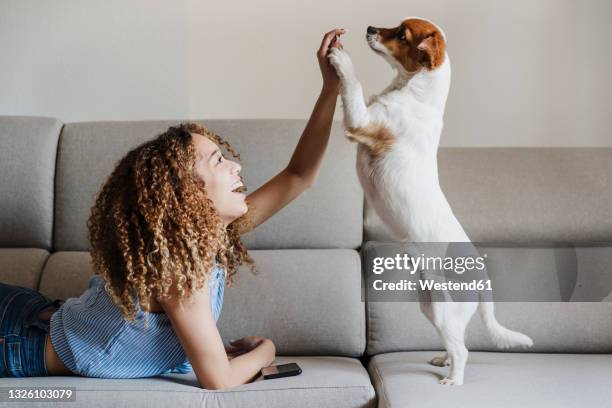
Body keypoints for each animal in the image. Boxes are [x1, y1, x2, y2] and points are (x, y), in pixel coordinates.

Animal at [328, 16, 532, 386]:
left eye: (401, 34)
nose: (369, 28)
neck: (414, 93)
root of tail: (481, 274)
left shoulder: (361, 120)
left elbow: (352, 84)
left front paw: (341, 58)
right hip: (431, 306)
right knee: (457, 342)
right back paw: (442, 359)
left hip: (441, 308)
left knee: (463, 350)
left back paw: (453, 379)